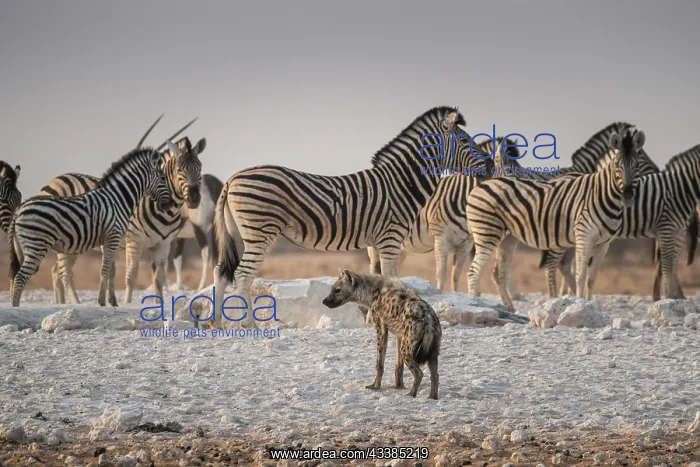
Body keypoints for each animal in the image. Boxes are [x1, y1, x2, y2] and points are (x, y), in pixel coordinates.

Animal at [9, 147, 174, 307]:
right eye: (162, 178)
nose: (170, 204)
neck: (118, 199)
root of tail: (18, 211)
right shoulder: (113, 236)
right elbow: (105, 270)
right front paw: (102, 301)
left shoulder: (111, 240)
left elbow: (111, 271)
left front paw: (113, 302)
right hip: (36, 245)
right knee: (21, 277)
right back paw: (15, 307)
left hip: (26, 248)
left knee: (17, 276)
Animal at [44, 136, 206, 305]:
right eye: (180, 170)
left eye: (199, 168)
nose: (194, 199)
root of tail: (54, 180)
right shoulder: (134, 241)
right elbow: (131, 276)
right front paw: (128, 304)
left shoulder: (163, 244)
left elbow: (159, 280)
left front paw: (159, 305)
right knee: (65, 274)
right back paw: (76, 303)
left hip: (70, 243)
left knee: (56, 271)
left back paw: (61, 302)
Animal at [212, 107, 490, 328]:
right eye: (464, 140)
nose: (490, 167)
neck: (401, 184)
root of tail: (233, 177)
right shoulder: (390, 239)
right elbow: (391, 279)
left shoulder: (378, 242)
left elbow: (378, 279)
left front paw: (373, 319)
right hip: (260, 229)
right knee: (243, 274)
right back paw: (248, 323)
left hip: (241, 233)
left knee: (221, 271)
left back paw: (215, 323)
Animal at [466, 127, 646, 311]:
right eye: (617, 166)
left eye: (637, 165)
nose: (628, 196)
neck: (602, 195)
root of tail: (483, 184)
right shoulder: (584, 237)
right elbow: (580, 275)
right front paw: (580, 304)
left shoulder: (604, 244)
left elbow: (591, 278)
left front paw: (589, 305)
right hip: (487, 233)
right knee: (473, 272)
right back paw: (474, 304)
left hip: (507, 239)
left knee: (499, 273)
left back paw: (510, 308)